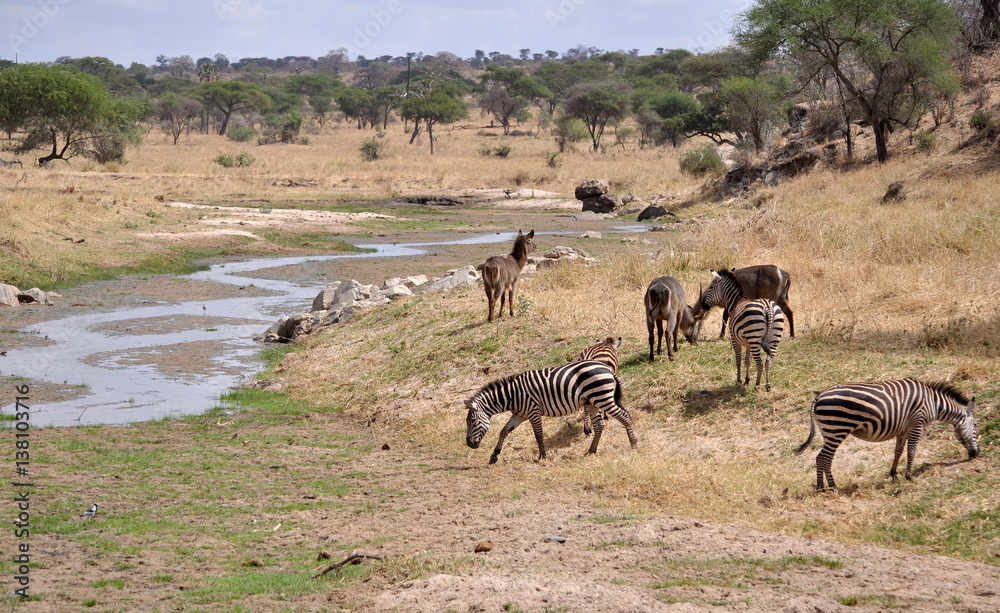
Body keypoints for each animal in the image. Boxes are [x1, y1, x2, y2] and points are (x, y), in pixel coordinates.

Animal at [465, 360, 637, 464]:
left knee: (625, 416)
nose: (469, 444)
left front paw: (542, 456)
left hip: (603, 398)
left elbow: (538, 435)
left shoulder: (533, 411)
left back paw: (634, 444)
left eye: (472, 421)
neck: (513, 395)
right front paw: (494, 455)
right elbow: (504, 430)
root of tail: (607, 369)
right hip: (592, 402)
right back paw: (591, 451)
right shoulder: (519, 414)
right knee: (600, 425)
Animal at [795, 379, 979, 490]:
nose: (976, 454)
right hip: (837, 430)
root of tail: (819, 396)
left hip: (829, 432)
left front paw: (893, 474)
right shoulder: (917, 424)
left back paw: (828, 486)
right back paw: (826, 487)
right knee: (822, 457)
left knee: (825, 458)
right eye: (976, 426)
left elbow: (898, 451)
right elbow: (911, 451)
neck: (934, 403)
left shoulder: (903, 429)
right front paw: (909, 476)